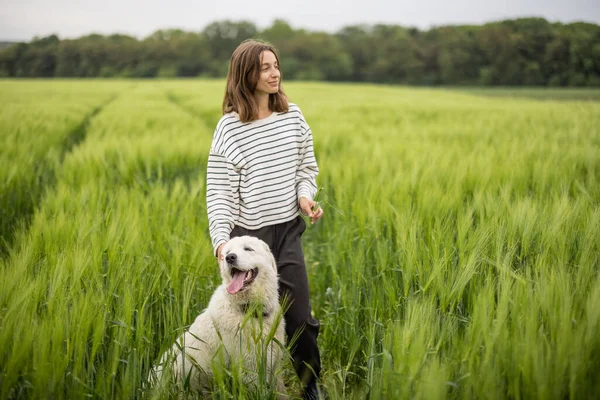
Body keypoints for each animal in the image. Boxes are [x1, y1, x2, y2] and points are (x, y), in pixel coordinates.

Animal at [154, 236, 288, 396]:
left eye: (248, 249)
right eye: (227, 252)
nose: (230, 258)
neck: (250, 311)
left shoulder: (274, 365)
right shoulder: (250, 370)